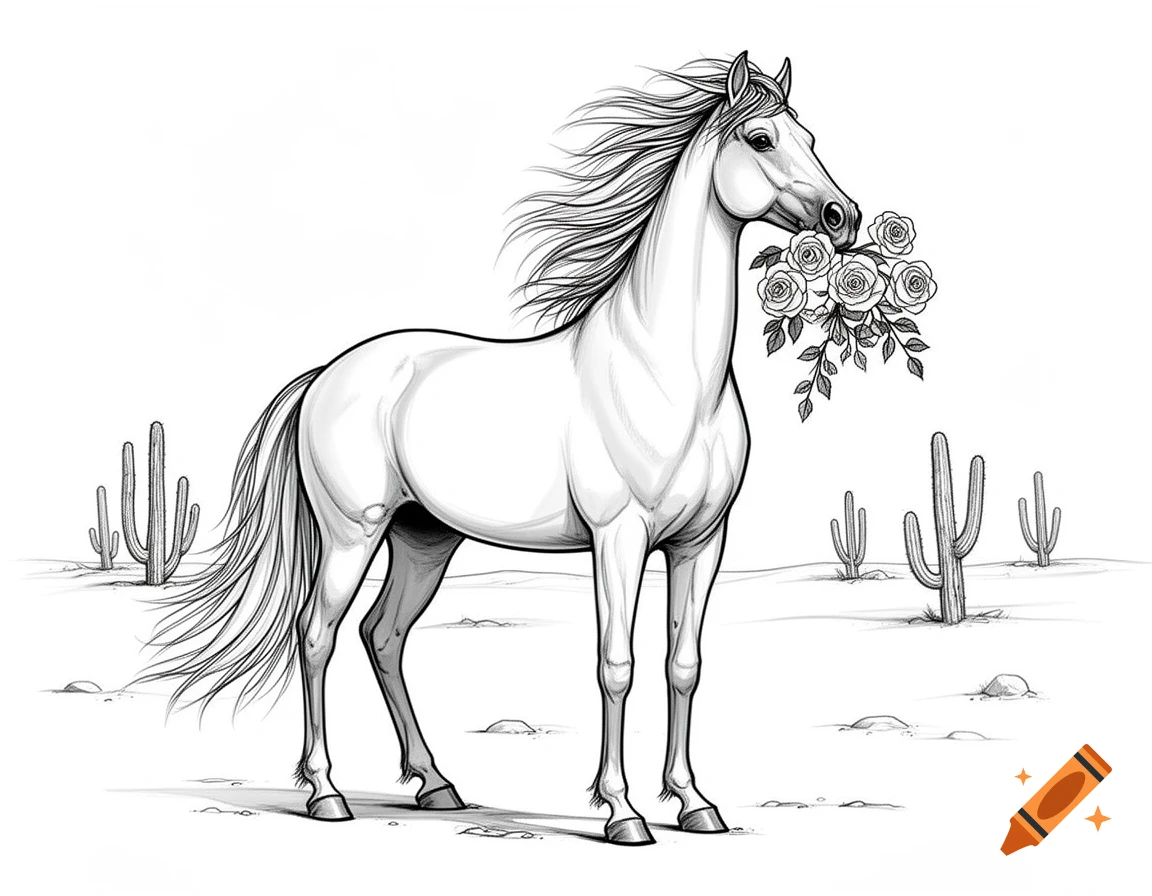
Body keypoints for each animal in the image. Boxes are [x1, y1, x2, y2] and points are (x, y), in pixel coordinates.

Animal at [137, 51, 858, 846]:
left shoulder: (701, 541)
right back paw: (327, 794)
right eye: (761, 139)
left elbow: (684, 666)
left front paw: (695, 803)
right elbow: (616, 665)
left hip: (423, 539)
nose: (844, 218)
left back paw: (437, 785)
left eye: (811, 136)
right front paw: (623, 813)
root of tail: (327, 374)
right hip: (352, 534)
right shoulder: (619, 539)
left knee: (383, 635)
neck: (662, 371)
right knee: (317, 633)